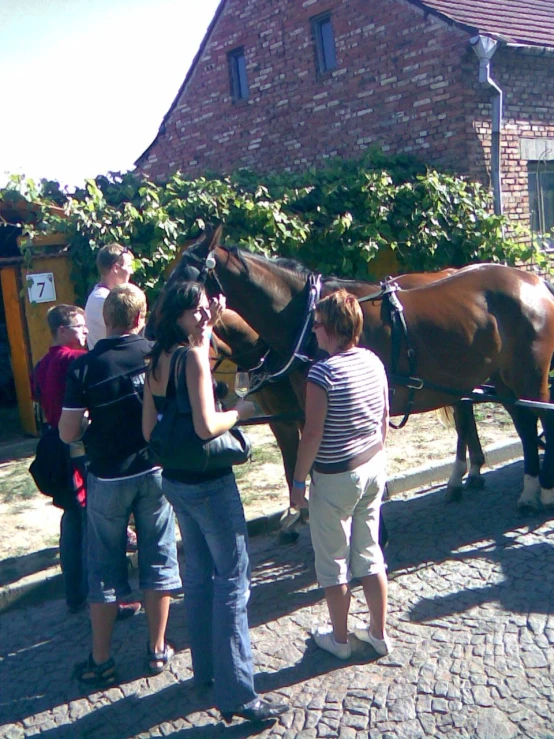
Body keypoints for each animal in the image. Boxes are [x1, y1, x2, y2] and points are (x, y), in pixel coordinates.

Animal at [175, 231, 552, 516]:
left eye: (185, 283)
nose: (161, 342)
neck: (309, 318)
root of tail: (532, 280)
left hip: (530, 377)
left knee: (538, 420)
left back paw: (539, 490)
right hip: (499, 378)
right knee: (520, 423)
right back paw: (519, 486)